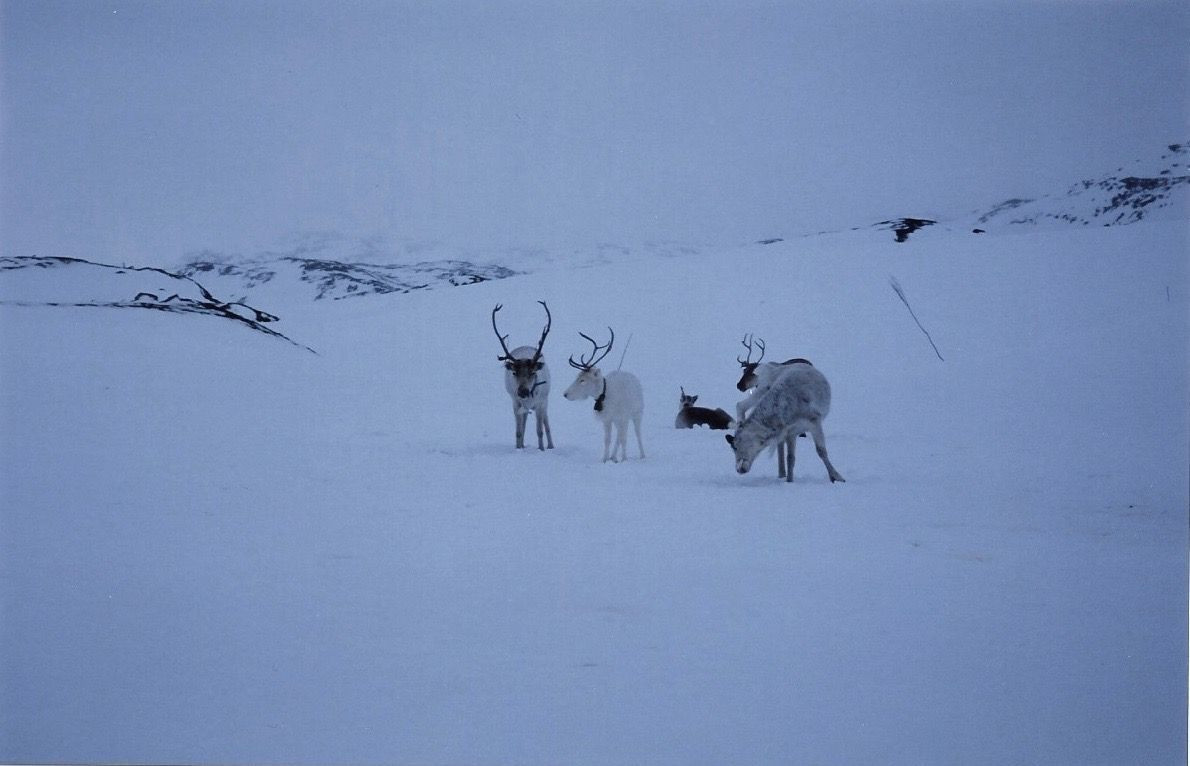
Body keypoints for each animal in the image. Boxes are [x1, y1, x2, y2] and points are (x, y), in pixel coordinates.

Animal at [492, 301, 554, 450]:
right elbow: (518, 432)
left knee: (546, 423)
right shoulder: (515, 403)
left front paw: (541, 449)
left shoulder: (540, 403)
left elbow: (539, 431)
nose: (523, 391)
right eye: (514, 372)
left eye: (533, 372)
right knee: (524, 423)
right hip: (522, 406)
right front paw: (518, 448)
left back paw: (551, 445)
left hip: (545, 401)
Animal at [563, 327, 645, 463]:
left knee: (637, 433)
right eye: (577, 376)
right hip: (618, 421)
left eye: (583, 380)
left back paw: (642, 455)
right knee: (619, 436)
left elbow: (624, 438)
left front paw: (624, 459)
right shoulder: (607, 419)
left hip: (637, 413)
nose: (565, 394)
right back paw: (613, 456)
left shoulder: (623, 417)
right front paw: (605, 459)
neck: (604, 394)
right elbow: (607, 439)